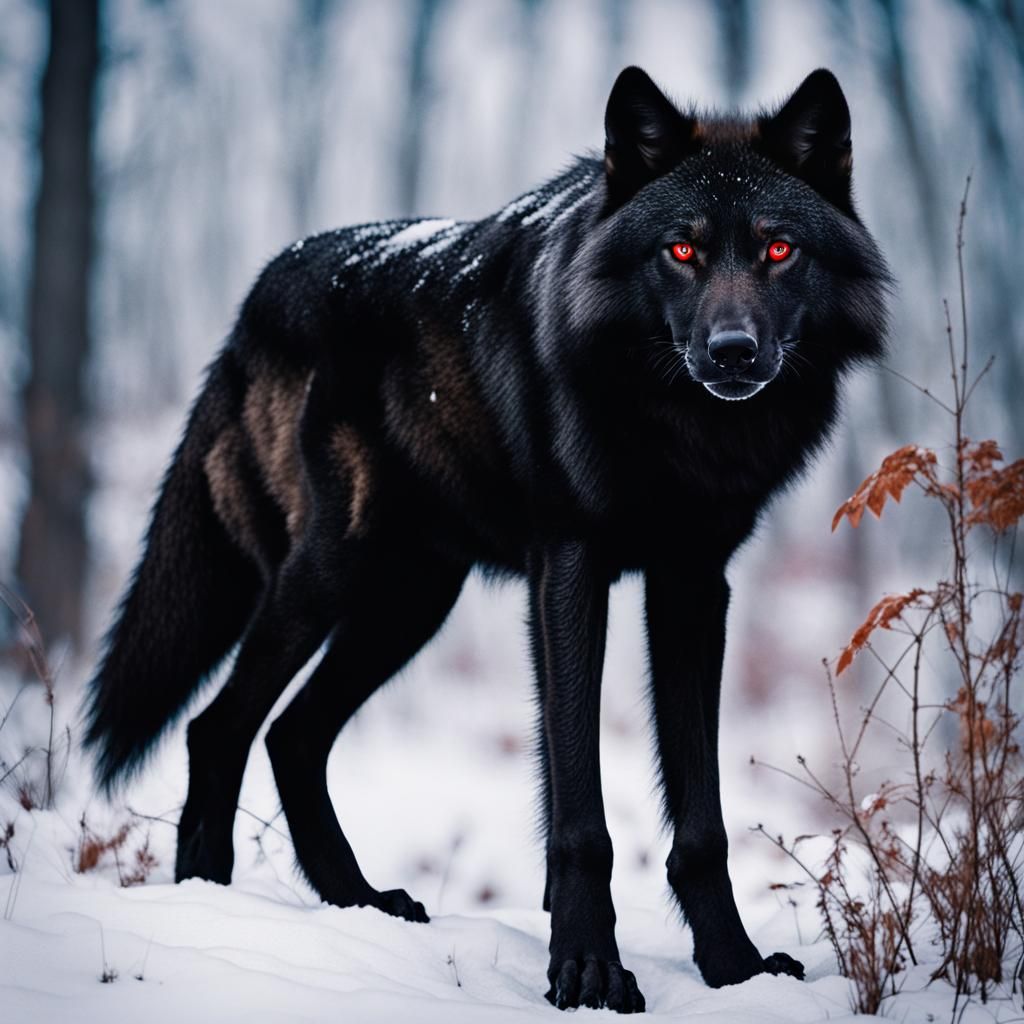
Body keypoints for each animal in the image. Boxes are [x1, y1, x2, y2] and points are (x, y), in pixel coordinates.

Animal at [85, 66, 889, 1011]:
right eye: (681, 252)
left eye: (779, 250)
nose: (732, 351)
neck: (677, 427)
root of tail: (258, 294)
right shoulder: (570, 567)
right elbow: (580, 813)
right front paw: (587, 971)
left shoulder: (693, 586)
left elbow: (702, 822)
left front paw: (734, 970)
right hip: (331, 576)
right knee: (219, 728)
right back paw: (207, 902)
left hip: (409, 603)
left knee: (291, 737)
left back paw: (362, 902)